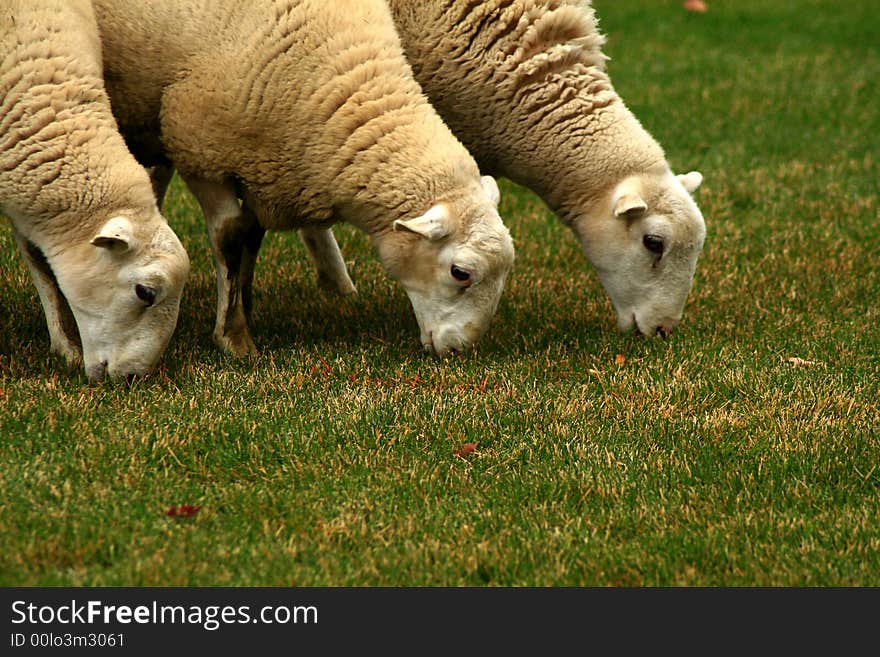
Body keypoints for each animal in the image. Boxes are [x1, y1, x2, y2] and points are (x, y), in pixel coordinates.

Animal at [91, 0, 516, 358]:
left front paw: (244, 306)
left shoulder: (264, 167)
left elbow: (251, 236)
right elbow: (230, 237)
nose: (459, 351)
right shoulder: (200, 146)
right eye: (461, 273)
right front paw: (234, 337)